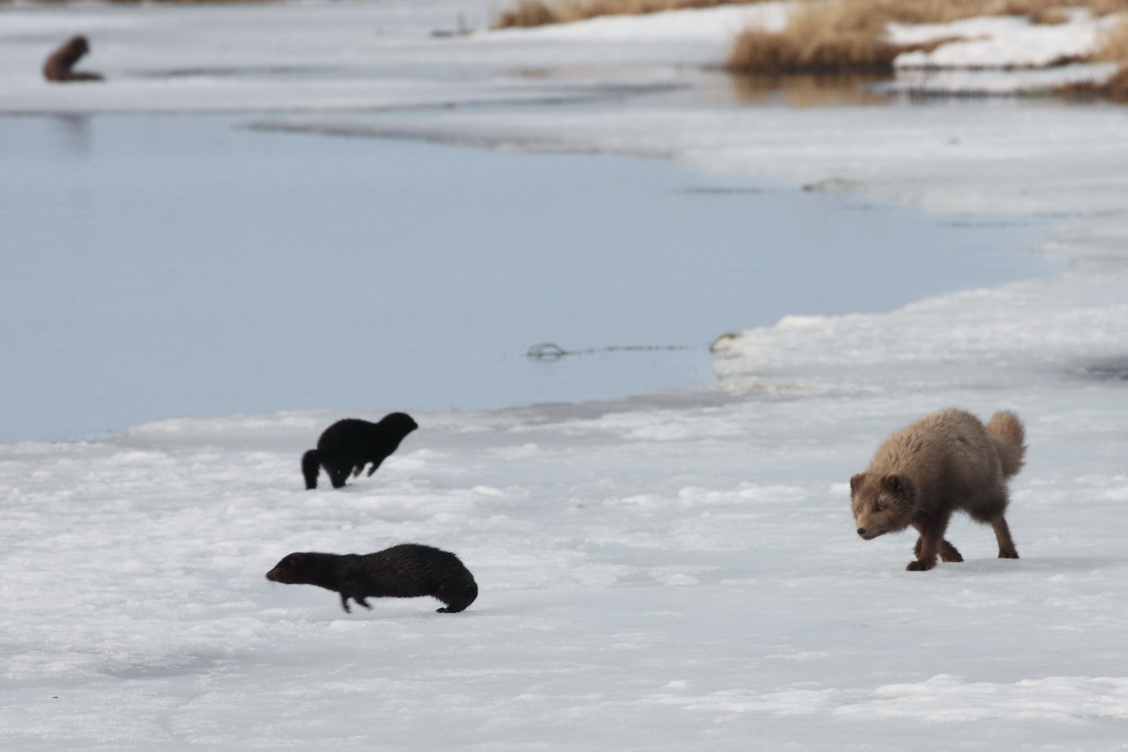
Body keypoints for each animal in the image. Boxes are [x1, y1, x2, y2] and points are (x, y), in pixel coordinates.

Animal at [848, 412, 1028, 570]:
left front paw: (922, 564)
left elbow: (932, 538)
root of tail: (988, 436)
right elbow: (931, 536)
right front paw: (950, 555)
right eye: (859, 509)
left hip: (981, 496)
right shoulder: (917, 511)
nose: (861, 530)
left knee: (998, 519)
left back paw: (1008, 553)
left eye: (881, 507)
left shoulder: (938, 506)